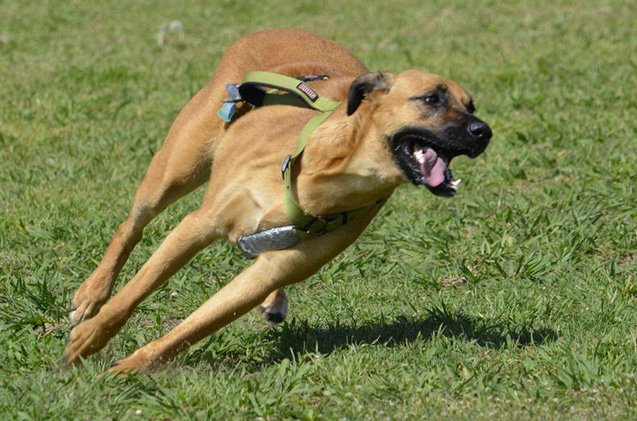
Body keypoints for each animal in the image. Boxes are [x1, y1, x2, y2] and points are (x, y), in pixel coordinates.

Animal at [64, 28, 492, 370]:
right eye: (432, 99)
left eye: (471, 106)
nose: (483, 132)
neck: (326, 170)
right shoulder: (197, 225)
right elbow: (135, 291)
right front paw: (90, 338)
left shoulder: (282, 264)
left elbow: (198, 324)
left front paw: (132, 367)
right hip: (176, 170)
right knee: (132, 225)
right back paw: (92, 293)